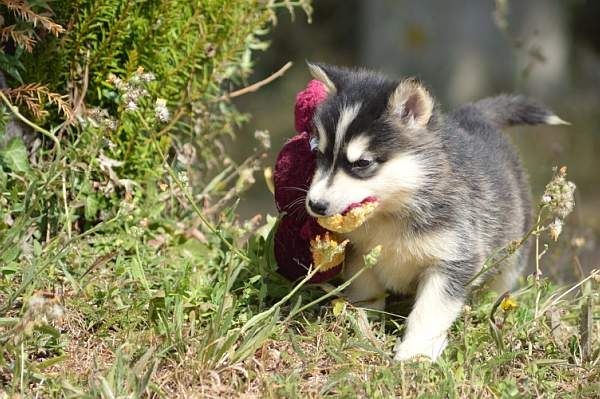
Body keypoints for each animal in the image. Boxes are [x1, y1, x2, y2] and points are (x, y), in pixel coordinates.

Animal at [304, 63, 568, 362]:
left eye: (362, 163)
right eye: (319, 153)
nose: (315, 205)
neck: (394, 210)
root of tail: (471, 117)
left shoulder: (453, 260)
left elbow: (429, 311)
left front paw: (416, 352)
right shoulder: (358, 251)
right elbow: (366, 289)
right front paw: (364, 323)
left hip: (512, 252)